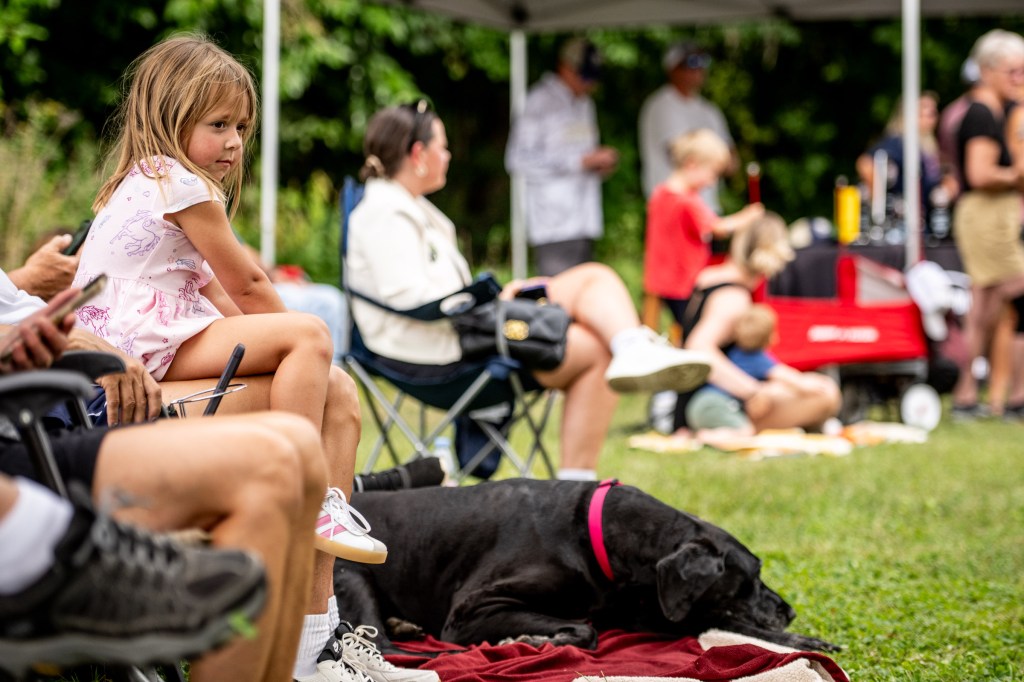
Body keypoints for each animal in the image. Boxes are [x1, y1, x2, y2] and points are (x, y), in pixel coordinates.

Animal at [334, 479, 838, 654]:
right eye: (749, 580)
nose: (790, 610)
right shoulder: (471, 610)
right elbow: (585, 629)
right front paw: (535, 640)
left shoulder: (651, 611)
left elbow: (729, 623)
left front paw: (805, 639)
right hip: (353, 576)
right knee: (382, 649)